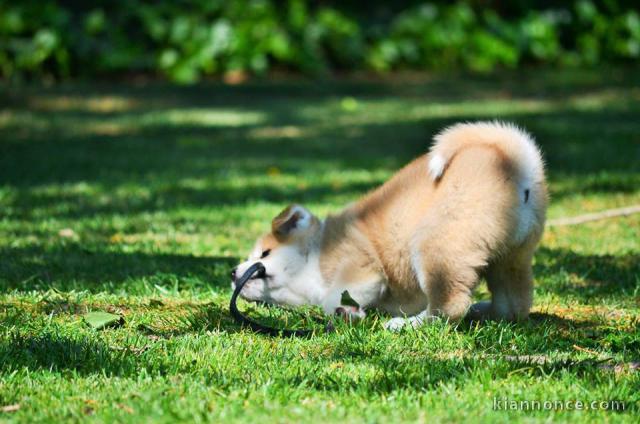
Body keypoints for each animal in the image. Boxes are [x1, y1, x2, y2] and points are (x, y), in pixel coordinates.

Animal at [232, 121, 548, 330]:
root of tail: (512, 162)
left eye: (264, 254)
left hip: (436, 247)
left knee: (448, 307)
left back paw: (407, 324)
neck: (318, 249)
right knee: (513, 305)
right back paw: (484, 311)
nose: (234, 272)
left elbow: (337, 293)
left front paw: (345, 311)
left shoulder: (360, 266)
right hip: (511, 257)